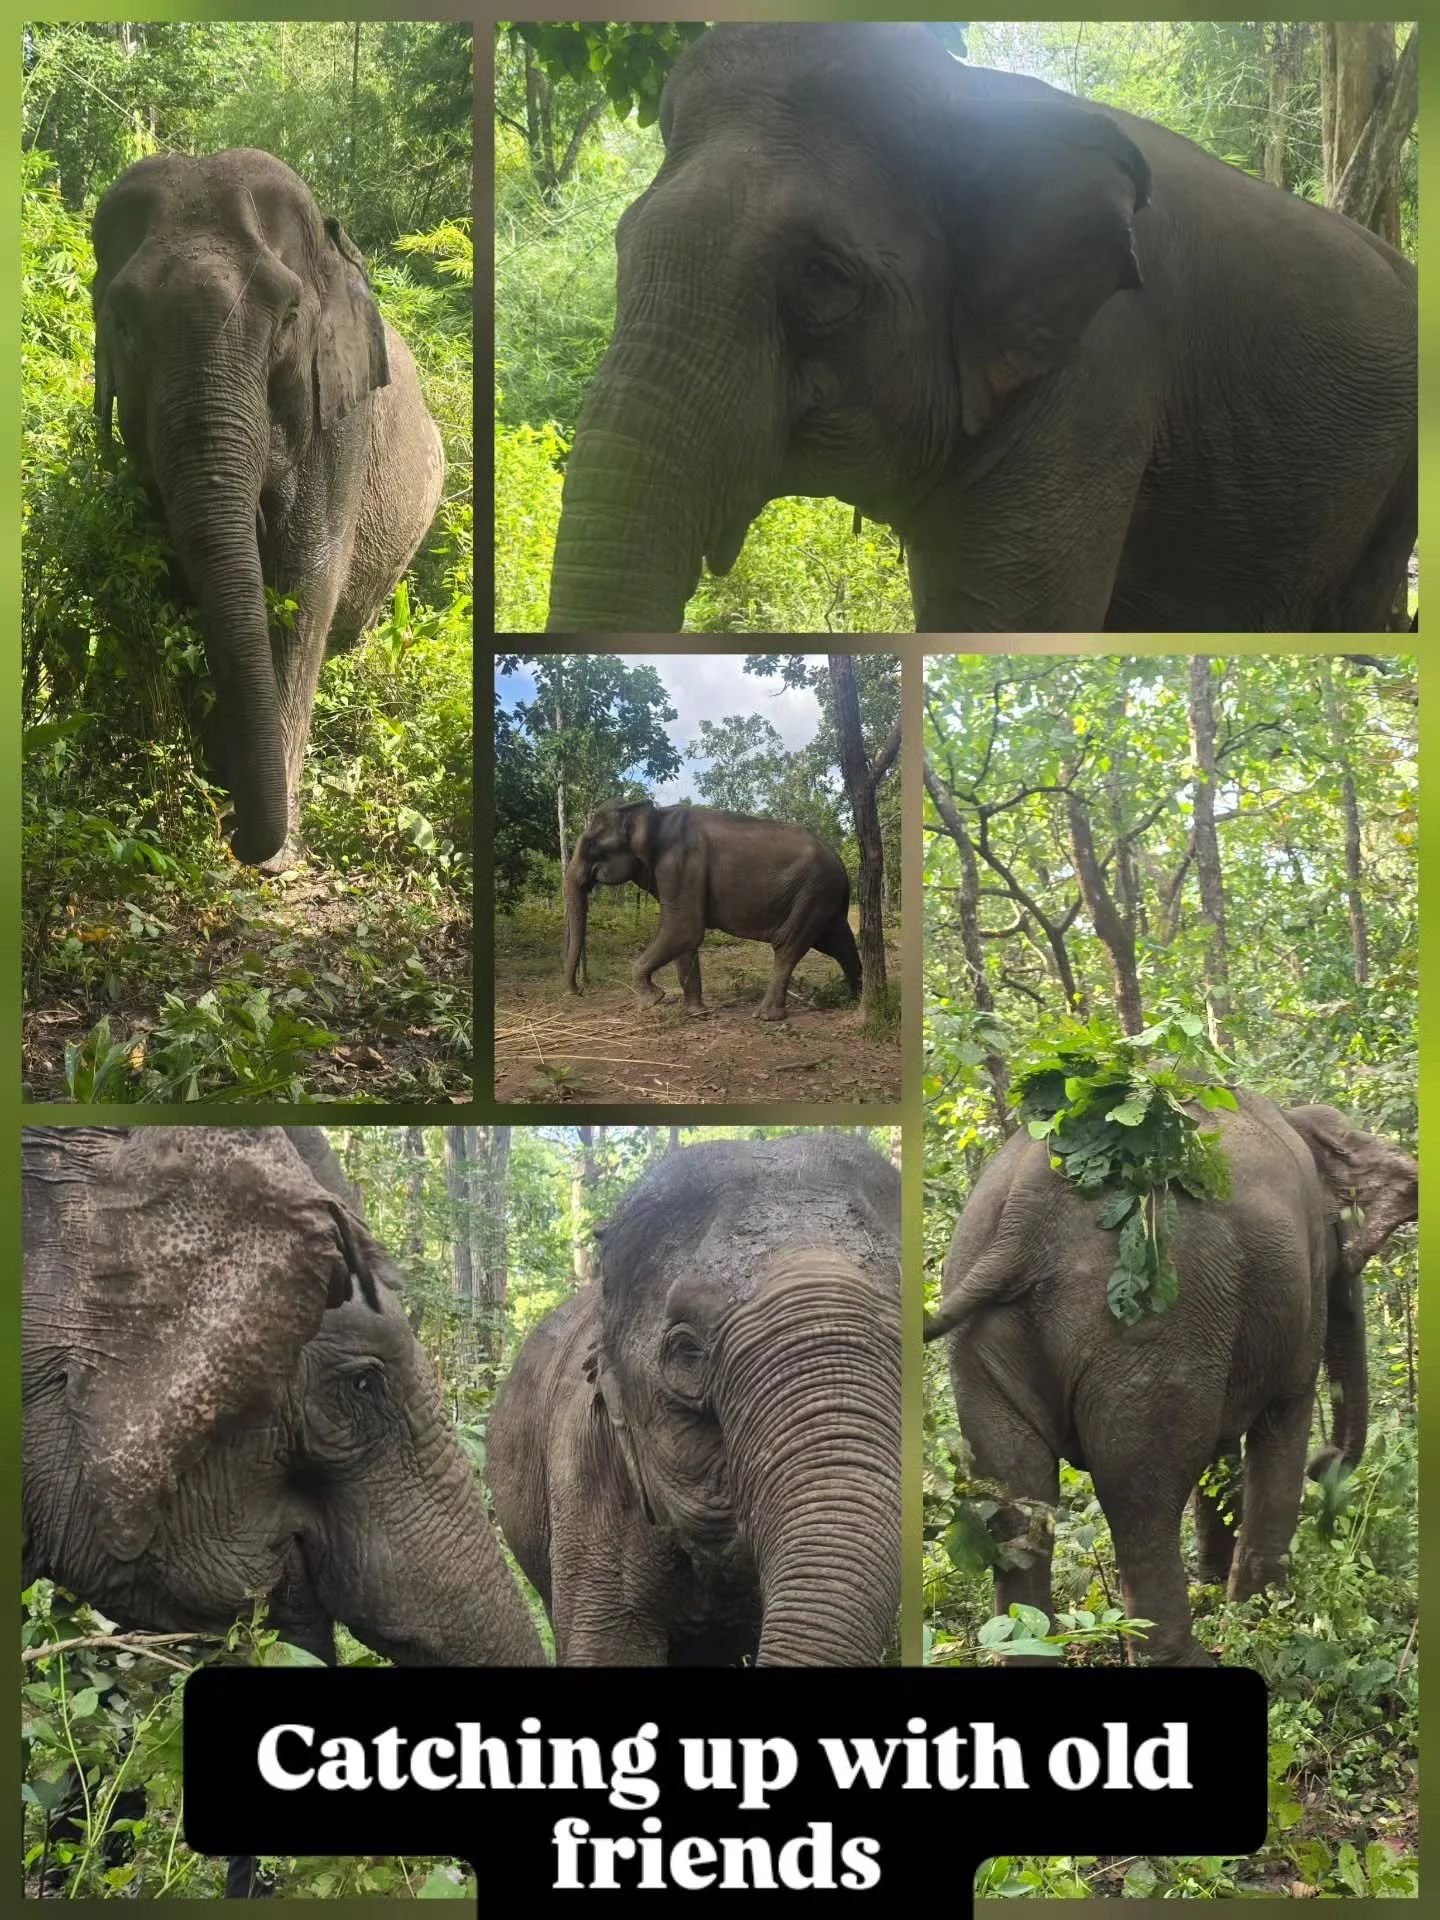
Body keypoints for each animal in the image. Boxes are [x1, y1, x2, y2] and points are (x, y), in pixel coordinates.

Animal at [92, 148, 447, 866]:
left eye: (287, 319)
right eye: (124, 324)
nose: (235, 834)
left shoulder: (341, 422)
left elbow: (303, 581)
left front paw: (274, 852)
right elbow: (180, 578)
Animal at [564, 799, 861, 1020]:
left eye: (592, 845)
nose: (579, 991)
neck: (655, 815)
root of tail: (840, 860)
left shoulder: (680, 864)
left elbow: (684, 928)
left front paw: (652, 1000)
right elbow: (684, 939)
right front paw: (696, 1013)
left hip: (813, 890)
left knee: (788, 943)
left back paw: (765, 1016)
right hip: (824, 897)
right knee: (838, 942)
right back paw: (856, 998)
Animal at [925, 1094, 1417, 1666]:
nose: (1327, 1461)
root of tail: (1023, 1214)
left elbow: (1221, 1457)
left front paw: (1219, 1594)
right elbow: (1281, 1422)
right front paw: (1267, 1619)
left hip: (981, 1336)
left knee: (1017, 1493)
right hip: (1155, 1326)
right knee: (1141, 1492)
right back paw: (1190, 1657)